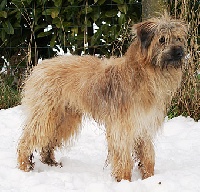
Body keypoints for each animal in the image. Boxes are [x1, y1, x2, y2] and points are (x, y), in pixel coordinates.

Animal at [17, 13, 188, 182]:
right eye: (162, 39)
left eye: (179, 38)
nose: (180, 52)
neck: (144, 73)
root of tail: (40, 66)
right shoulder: (122, 127)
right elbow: (123, 157)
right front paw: (124, 180)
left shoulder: (144, 124)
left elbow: (147, 153)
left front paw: (149, 178)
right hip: (46, 113)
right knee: (29, 138)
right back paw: (25, 166)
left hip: (65, 117)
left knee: (48, 139)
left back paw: (50, 162)